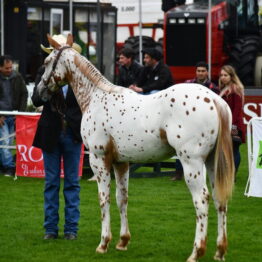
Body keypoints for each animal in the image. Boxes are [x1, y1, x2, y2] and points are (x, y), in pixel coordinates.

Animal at [36, 34, 233, 262]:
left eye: (47, 62)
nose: (38, 93)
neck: (96, 96)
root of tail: (216, 100)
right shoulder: (121, 163)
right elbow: (122, 199)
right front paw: (122, 241)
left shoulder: (98, 159)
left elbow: (104, 199)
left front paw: (103, 243)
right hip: (211, 162)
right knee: (219, 199)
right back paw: (219, 251)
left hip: (191, 163)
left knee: (201, 199)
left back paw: (196, 252)